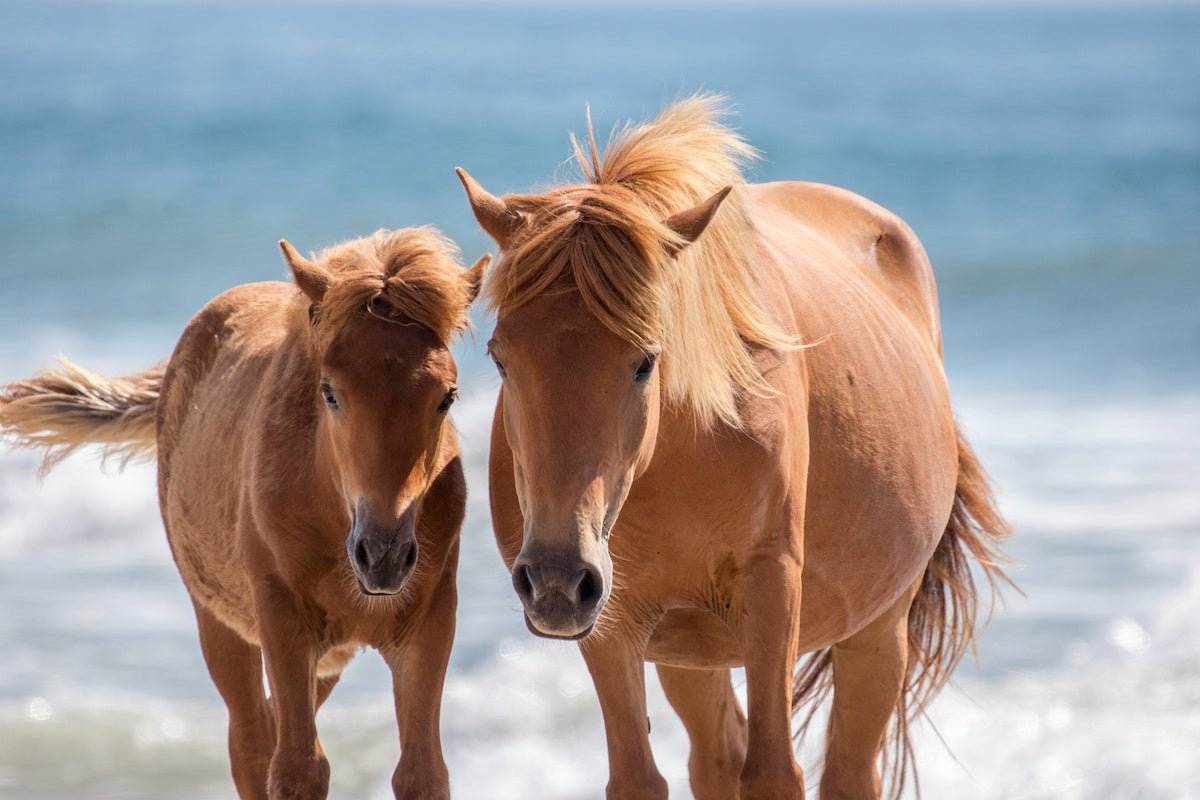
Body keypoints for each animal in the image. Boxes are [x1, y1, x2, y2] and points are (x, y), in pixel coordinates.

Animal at [1, 226, 487, 800]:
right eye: (330, 394)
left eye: (447, 397)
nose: (383, 555)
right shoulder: (281, 618)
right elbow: (298, 770)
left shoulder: (429, 624)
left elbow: (422, 773)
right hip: (220, 623)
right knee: (252, 742)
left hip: (328, 659)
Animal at [458, 97, 1012, 796]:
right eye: (500, 358)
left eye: (645, 362)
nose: (555, 577)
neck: (675, 455)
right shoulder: (610, 622)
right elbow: (638, 778)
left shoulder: (771, 592)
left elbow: (774, 769)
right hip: (688, 653)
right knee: (716, 756)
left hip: (878, 633)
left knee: (850, 767)